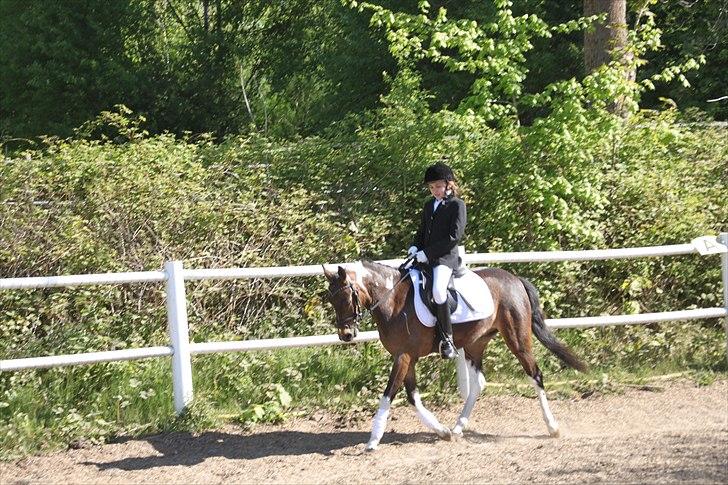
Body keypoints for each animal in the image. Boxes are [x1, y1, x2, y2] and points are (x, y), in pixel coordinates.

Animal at [322, 260, 584, 450]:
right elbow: (413, 397)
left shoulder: (403, 356)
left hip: (517, 339)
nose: (346, 334)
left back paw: (553, 427)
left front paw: (373, 440)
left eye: (346, 297)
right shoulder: (407, 357)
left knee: (535, 374)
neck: (393, 300)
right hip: (476, 343)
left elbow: (388, 394)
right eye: (331, 299)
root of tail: (514, 279)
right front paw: (443, 432)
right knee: (479, 382)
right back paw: (458, 427)